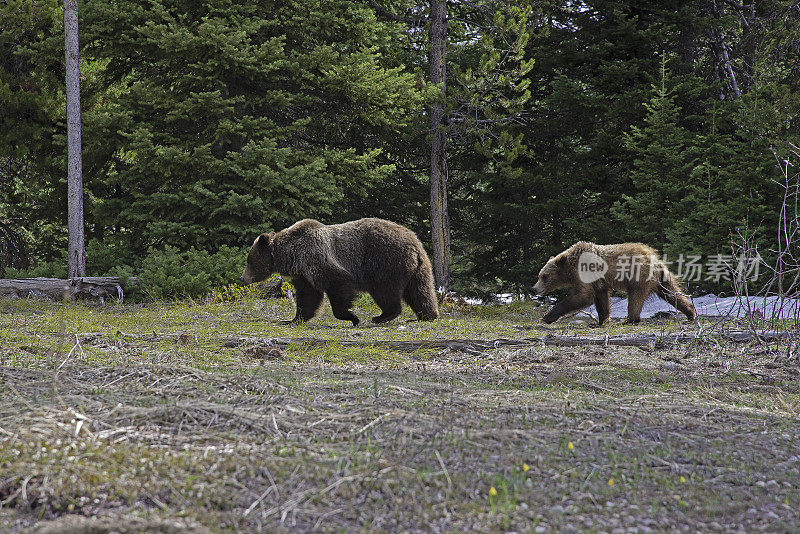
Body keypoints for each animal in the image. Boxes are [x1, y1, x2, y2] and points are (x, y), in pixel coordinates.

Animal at [239, 218, 438, 326]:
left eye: (249, 261)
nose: (242, 279)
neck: (292, 255)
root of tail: (414, 244)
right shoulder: (304, 274)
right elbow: (308, 296)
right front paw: (293, 319)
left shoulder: (317, 258)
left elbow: (338, 285)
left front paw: (352, 317)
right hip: (418, 267)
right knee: (420, 290)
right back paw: (426, 315)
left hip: (384, 261)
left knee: (384, 290)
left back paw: (382, 316)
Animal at [536, 243, 696, 326]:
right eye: (539, 275)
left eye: (544, 276)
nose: (534, 288)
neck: (570, 266)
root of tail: (656, 259)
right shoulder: (599, 281)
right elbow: (601, 299)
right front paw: (601, 320)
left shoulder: (585, 271)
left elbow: (583, 296)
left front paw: (548, 316)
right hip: (662, 279)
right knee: (671, 293)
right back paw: (691, 312)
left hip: (638, 276)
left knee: (635, 298)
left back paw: (628, 319)